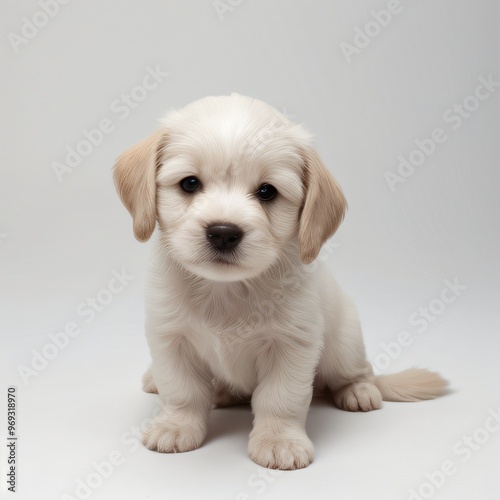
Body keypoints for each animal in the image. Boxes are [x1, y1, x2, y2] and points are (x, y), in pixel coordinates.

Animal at [114, 93, 450, 468]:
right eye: (189, 183)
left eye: (267, 192)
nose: (223, 232)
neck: (226, 290)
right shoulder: (170, 338)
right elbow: (182, 390)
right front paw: (176, 425)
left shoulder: (292, 345)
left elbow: (279, 399)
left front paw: (279, 440)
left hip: (344, 345)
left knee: (358, 371)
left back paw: (359, 390)